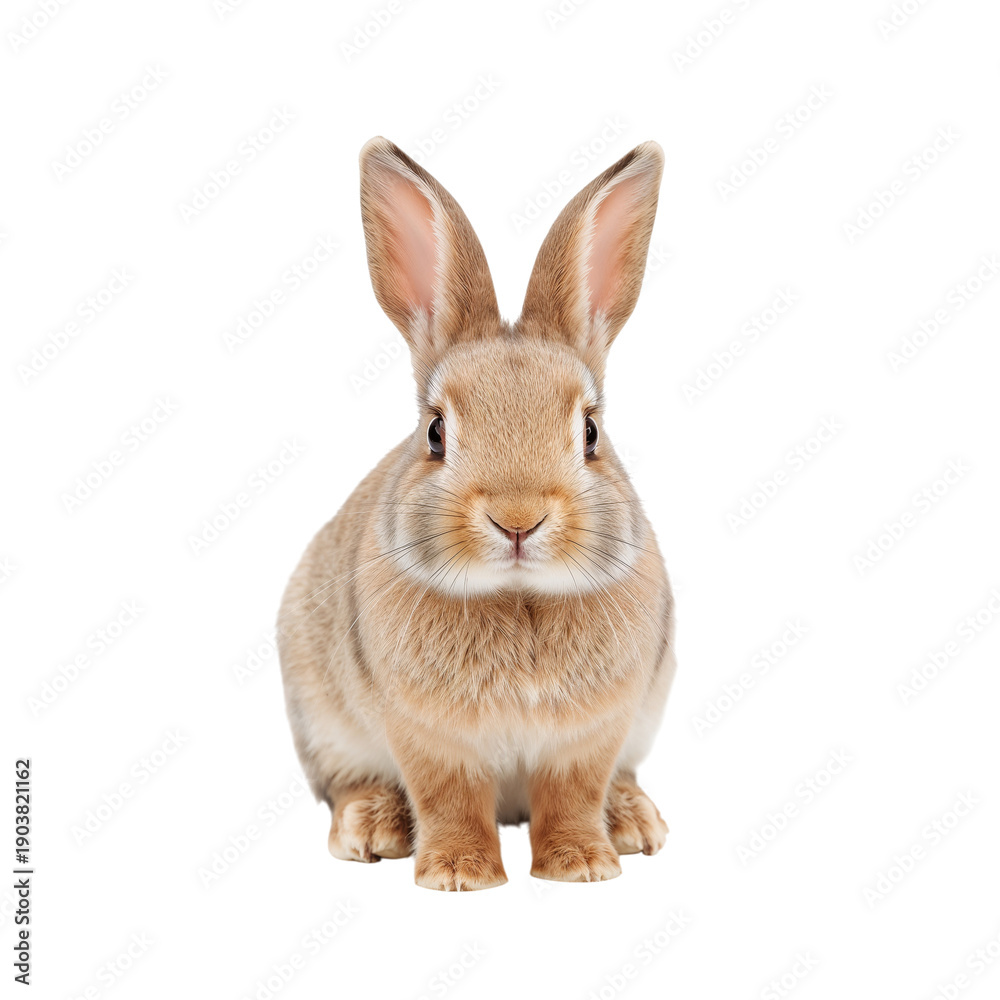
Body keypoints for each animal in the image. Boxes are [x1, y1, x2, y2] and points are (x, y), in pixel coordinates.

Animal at [278, 136, 676, 890]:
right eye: (436, 432)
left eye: (590, 433)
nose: (518, 520)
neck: (517, 596)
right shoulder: (428, 737)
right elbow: (449, 798)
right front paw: (459, 875)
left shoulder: (591, 737)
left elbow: (573, 795)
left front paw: (582, 866)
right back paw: (372, 827)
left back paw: (634, 820)